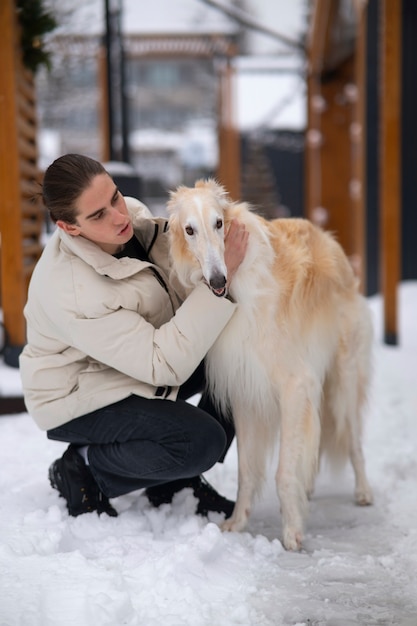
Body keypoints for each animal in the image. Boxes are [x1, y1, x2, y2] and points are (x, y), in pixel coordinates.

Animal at [167, 178, 374, 548]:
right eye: (189, 230)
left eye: (219, 223)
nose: (218, 282)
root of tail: (331, 241)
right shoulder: (245, 393)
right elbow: (247, 472)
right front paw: (237, 523)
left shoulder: (295, 384)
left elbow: (283, 472)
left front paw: (292, 531)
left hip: (342, 382)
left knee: (353, 441)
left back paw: (363, 492)